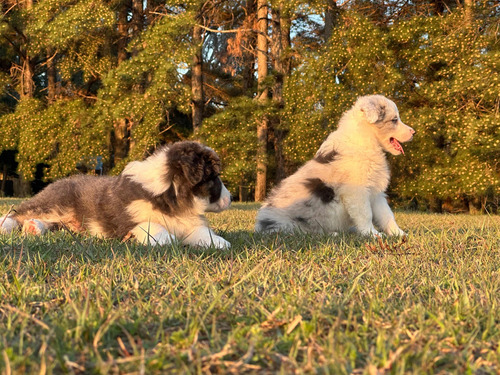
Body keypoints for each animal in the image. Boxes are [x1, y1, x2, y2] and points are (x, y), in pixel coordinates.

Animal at [0, 141, 232, 250]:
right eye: (214, 177)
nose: (231, 198)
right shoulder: (127, 224)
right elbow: (154, 229)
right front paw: (168, 240)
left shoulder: (189, 222)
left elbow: (203, 232)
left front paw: (220, 243)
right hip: (56, 201)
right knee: (18, 213)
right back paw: (10, 226)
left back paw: (33, 228)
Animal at [256, 96, 416, 238]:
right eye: (394, 120)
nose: (414, 132)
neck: (366, 138)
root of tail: (260, 225)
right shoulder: (356, 191)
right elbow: (366, 214)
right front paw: (372, 234)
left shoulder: (376, 192)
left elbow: (386, 215)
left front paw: (399, 234)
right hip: (288, 225)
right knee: (302, 232)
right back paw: (332, 234)